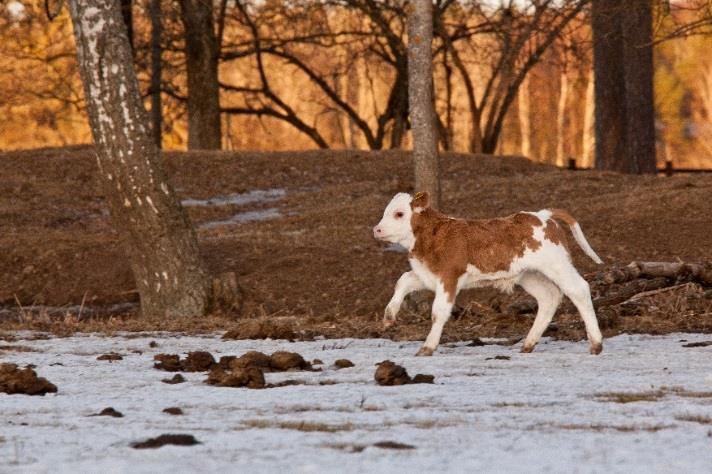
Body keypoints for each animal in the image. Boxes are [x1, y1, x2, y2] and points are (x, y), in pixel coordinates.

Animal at [376, 192, 604, 356]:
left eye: (399, 214)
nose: (376, 229)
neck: (434, 236)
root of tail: (542, 215)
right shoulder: (428, 275)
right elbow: (403, 281)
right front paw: (389, 317)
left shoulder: (449, 276)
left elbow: (438, 312)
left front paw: (427, 347)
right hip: (529, 274)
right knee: (549, 297)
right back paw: (528, 345)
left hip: (556, 264)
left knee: (578, 290)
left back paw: (596, 344)